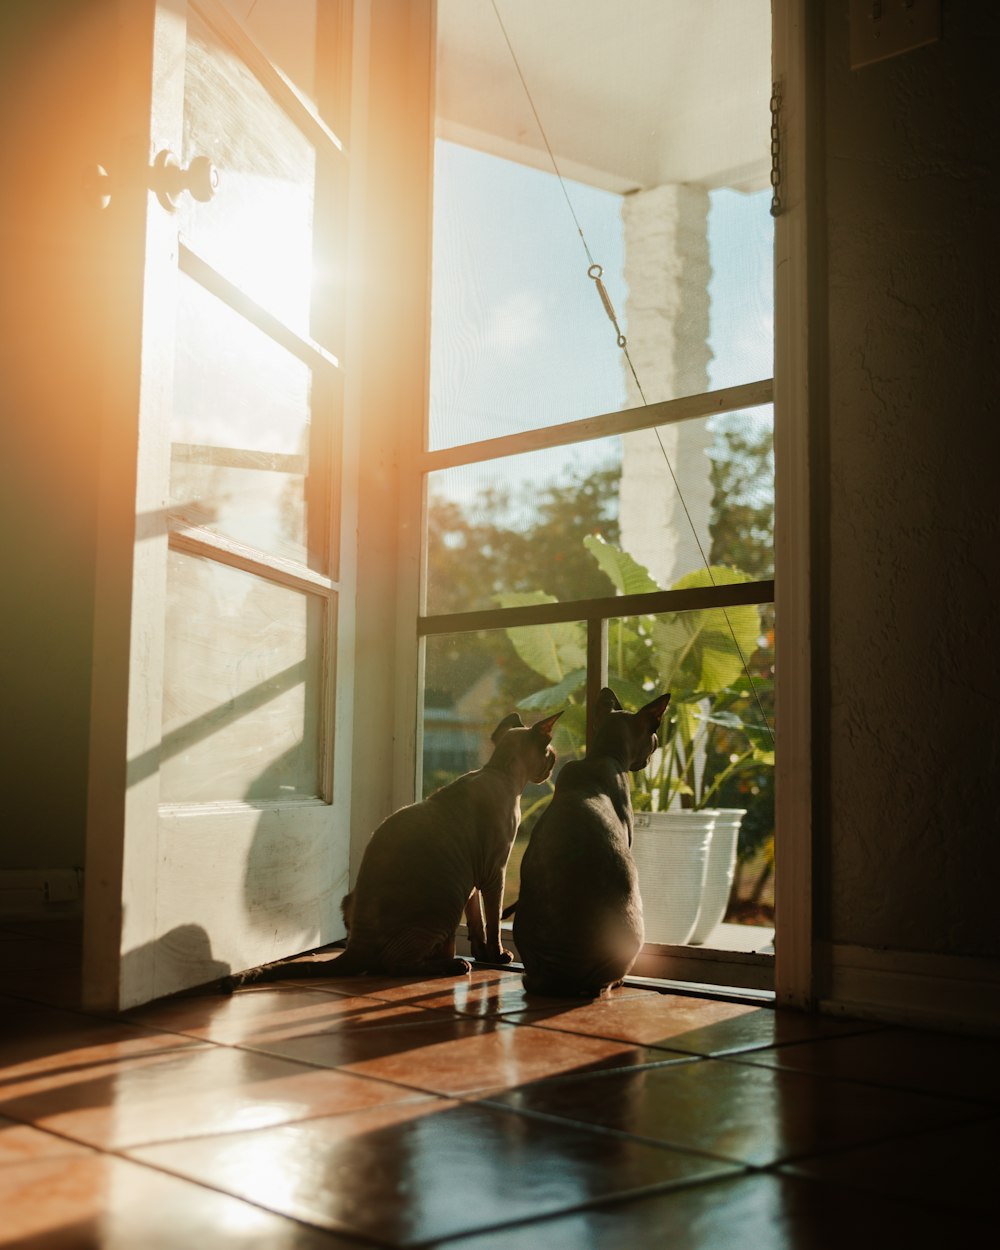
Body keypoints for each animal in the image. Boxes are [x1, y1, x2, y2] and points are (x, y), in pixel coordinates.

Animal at [221, 715, 557, 985]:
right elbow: (493, 920)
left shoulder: (475, 879)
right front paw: (497, 956)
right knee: (394, 966)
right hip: (446, 904)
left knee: (383, 964)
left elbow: (477, 921)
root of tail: (358, 942)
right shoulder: (494, 873)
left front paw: (484, 953)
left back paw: (451, 961)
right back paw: (455, 965)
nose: (551, 770)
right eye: (551, 756)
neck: (499, 773)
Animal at [515, 690, 670, 1000]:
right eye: (655, 738)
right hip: (633, 926)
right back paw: (615, 983)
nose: (656, 748)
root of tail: (556, 976)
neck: (602, 754)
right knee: (601, 985)